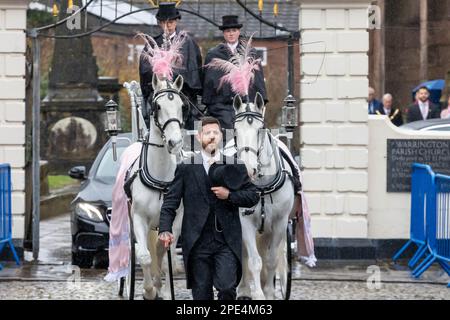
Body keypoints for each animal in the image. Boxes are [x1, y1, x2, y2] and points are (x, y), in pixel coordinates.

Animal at [234, 92, 298, 300]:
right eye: (235, 130)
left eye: (260, 129)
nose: (248, 169)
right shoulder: (245, 222)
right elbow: (254, 260)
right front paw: (258, 294)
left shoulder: (279, 222)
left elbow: (271, 259)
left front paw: (269, 292)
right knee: (244, 254)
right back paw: (244, 289)